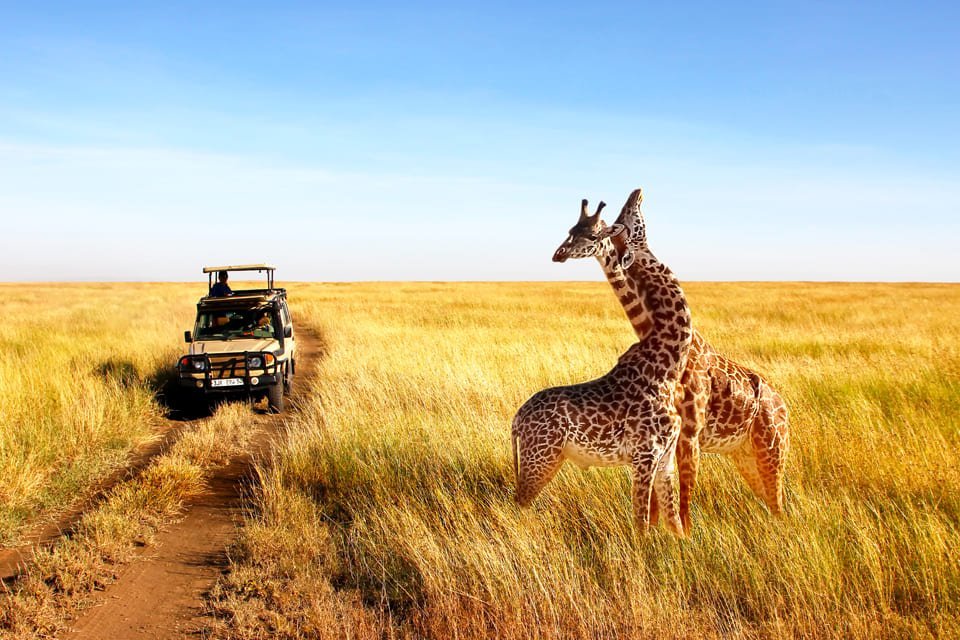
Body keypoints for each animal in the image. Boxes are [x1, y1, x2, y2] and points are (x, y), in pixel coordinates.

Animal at [552, 189, 792, 528]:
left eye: (595, 232)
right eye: (571, 229)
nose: (558, 254)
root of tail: (784, 406)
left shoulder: (688, 433)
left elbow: (682, 498)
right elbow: (660, 498)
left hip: (772, 449)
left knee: (779, 503)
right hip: (746, 455)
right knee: (772, 503)